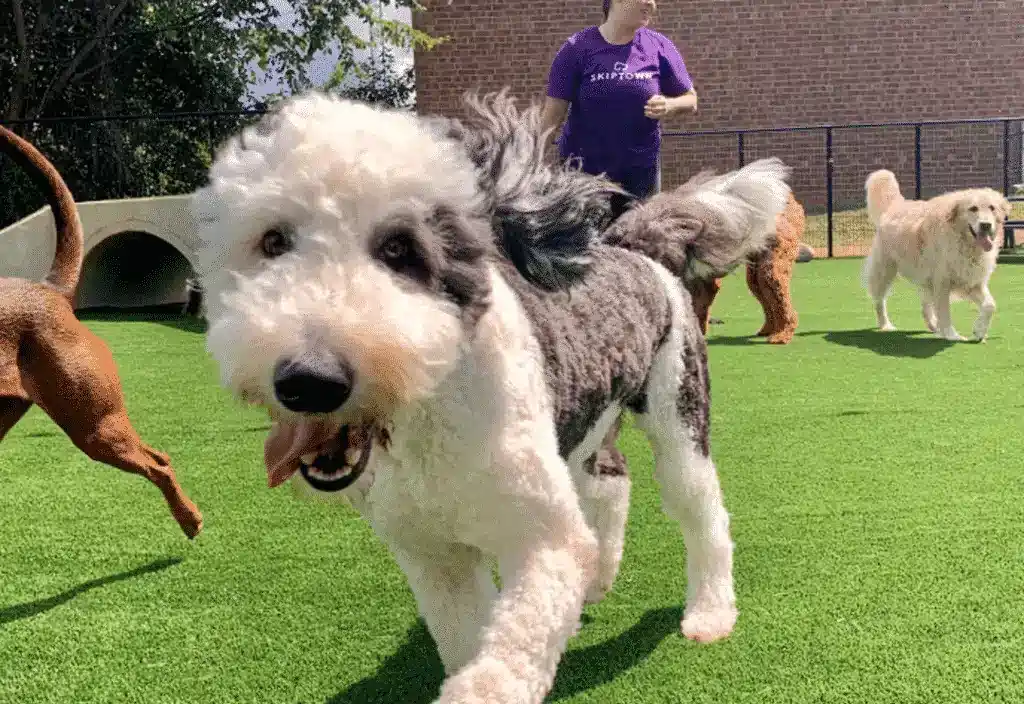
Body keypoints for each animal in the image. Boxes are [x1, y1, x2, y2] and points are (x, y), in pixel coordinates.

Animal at [188, 94, 786, 704]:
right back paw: (598, 577)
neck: (429, 417)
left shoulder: (542, 540)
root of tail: (632, 249)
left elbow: (512, 648)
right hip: (580, 433)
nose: (310, 379)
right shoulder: (433, 556)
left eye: (400, 249)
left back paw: (710, 613)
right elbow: (466, 634)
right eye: (273, 241)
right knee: (612, 481)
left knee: (702, 509)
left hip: (677, 409)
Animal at [860, 170, 1011, 341]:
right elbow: (945, 312)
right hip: (885, 271)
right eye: (973, 208)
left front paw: (979, 330)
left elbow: (990, 305)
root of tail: (895, 205)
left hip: (924, 278)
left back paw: (932, 325)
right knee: (880, 300)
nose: (986, 225)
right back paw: (885, 325)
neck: (964, 242)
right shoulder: (942, 282)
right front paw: (952, 335)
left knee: (925, 304)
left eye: (992, 208)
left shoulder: (971, 281)